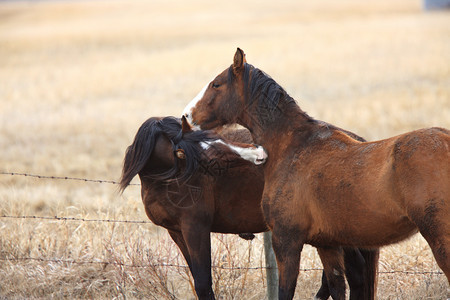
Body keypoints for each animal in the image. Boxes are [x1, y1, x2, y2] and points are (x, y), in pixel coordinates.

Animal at [118, 116, 376, 298]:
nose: (260, 154)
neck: (168, 178)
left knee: (354, 273)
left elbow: (203, 283)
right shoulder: (176, 232)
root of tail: (356, 142)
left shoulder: (196, 228)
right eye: (215, 154)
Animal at [183, 48, 450, 298]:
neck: (291, 146)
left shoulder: (286, 243)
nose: (186, 117)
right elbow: (336, 287)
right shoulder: (327, 245)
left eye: (217, 84)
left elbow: (286, 291)